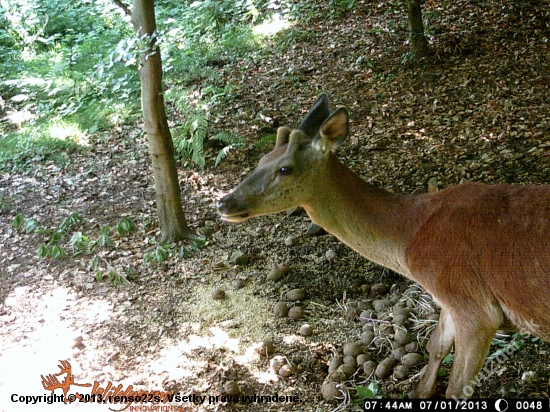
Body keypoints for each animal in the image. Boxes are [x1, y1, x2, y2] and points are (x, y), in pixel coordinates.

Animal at [219, 94, 550, 400]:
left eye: (285, 169)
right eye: (261, 160)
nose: (224, 202)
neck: (410, 238)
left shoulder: (472, 304)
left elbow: (457, 388)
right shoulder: (448, 299)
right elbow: (436, 345)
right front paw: (419, 392)